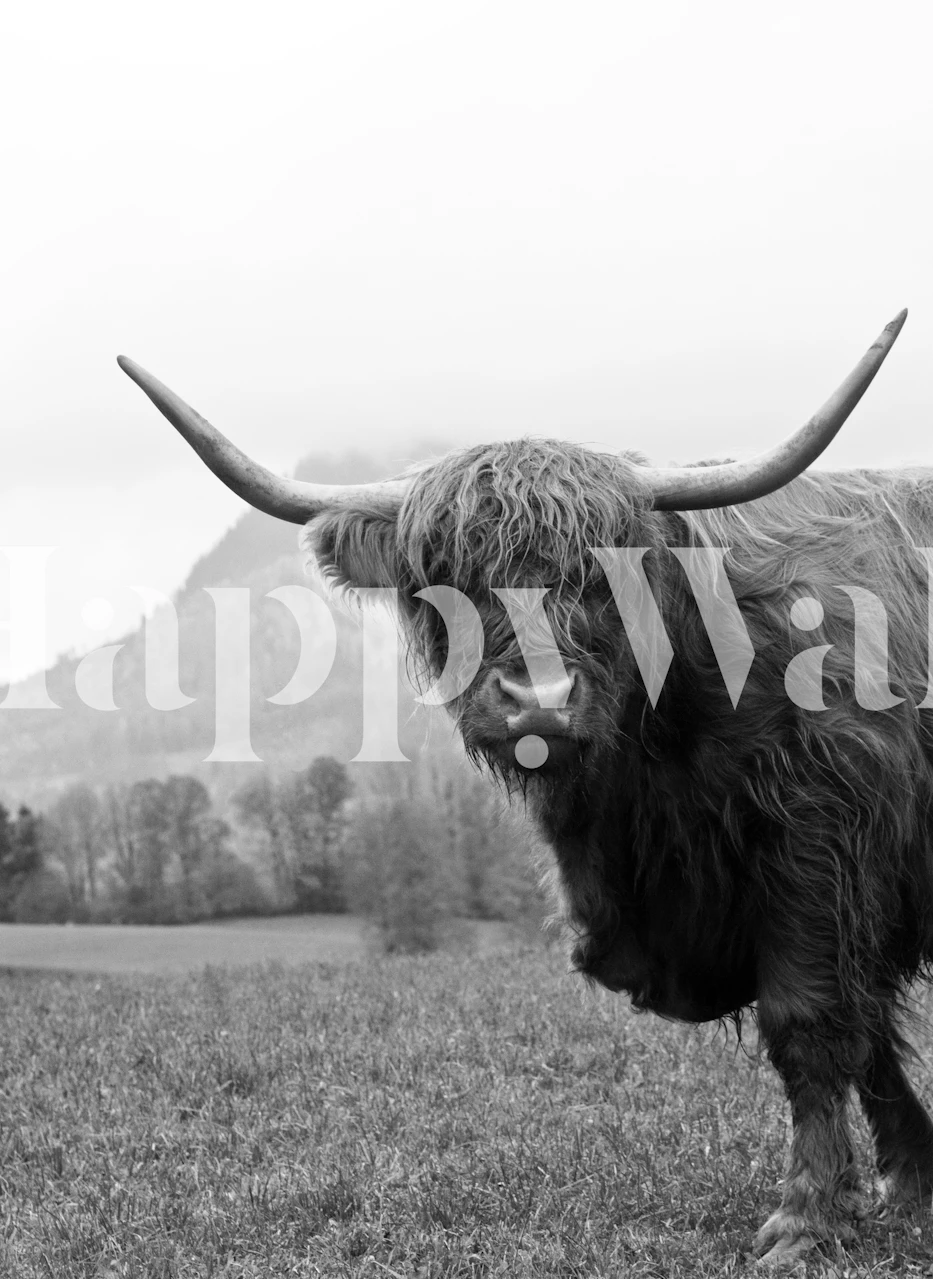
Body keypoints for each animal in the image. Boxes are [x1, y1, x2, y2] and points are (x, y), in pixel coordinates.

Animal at [117, 310, 933, 1267]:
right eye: (441, 580)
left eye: (602, 574)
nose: (537, 699)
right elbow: (868, 1036)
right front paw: (911, 1180)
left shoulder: (819, 848)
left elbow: (809, 1023)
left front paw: (807, 1217)